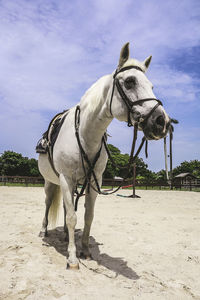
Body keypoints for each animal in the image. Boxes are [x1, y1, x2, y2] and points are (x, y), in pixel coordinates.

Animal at [38, 42, 170, 270]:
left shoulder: (94, 181)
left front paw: (85, 250)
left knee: (65, 206)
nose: (162, 122)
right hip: (51, 181)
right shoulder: (66, 178)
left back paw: (64, 235)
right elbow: (72, 217)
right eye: (130, 82)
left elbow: (87, 216)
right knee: (48, 203)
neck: (84, 135)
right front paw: (72, 258)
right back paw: (44, 231)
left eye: (151, 86)